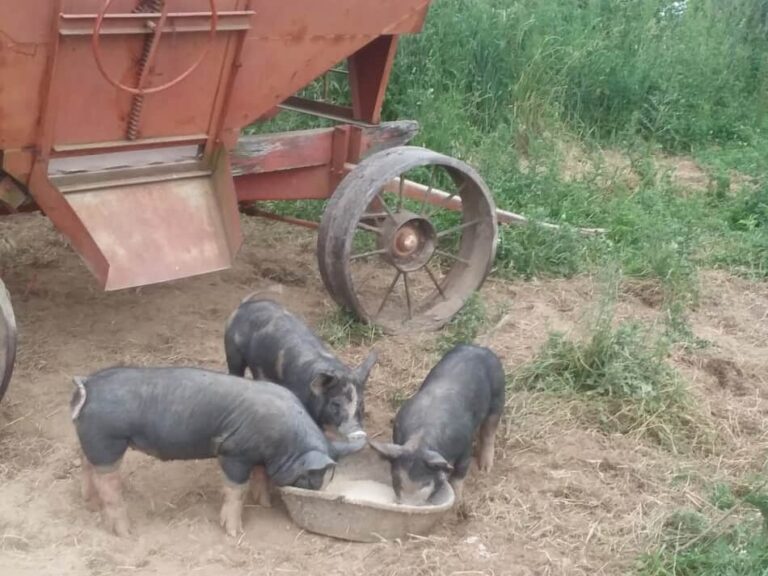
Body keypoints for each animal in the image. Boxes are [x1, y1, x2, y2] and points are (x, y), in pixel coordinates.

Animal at [69, 366, 364, 536]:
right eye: (313, 477)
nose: (319, 490)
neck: (286, 444)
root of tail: (88, 385)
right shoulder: (235, 454)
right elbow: (236, 490)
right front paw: (235, 533)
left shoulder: (257, 456)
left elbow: (259, 477)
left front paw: (264, 504)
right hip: (108, 441)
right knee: (109, 485)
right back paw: (126, 532)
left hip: (92, 442)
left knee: (86, 464)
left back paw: (90, 504)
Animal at [370, 344, 504, 506]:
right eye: (397, 481)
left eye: (425, 484)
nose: (409, 504)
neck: (420, 440)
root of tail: (480, 348)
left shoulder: (465, 447)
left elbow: (459, 476)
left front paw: (457, 503)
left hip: (498, 396)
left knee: (489, 431)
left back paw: (485, 468)